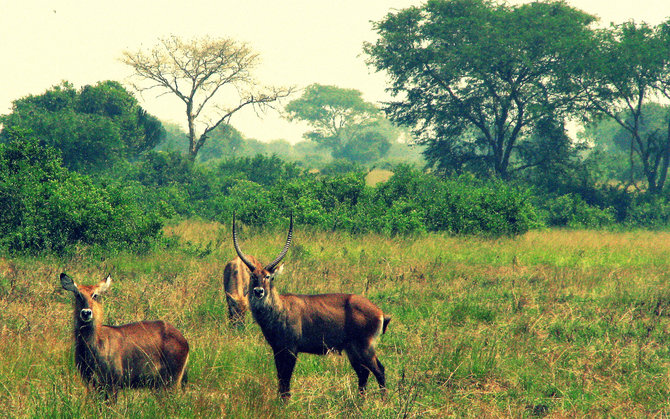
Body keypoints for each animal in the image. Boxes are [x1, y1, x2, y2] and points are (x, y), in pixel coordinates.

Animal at [59, 274, 189, 402]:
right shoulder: (92, 383)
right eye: (78, 294)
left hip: (172, 380)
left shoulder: (113, 382)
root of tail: (184, 340)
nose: (86, 312)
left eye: (95, 295)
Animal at [232, 215, 392, 402]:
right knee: (363, 373)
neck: (279, 309)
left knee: (379, 370)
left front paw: (286, 403)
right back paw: (359, 401)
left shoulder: (291, 349)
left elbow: (286, 380)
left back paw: (383, 401)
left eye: (269, 277)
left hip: (365, 347)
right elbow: (280, 379)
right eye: (252, 276)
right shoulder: (277, 349)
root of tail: (380, 312)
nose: (258, 291)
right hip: (352, 349)